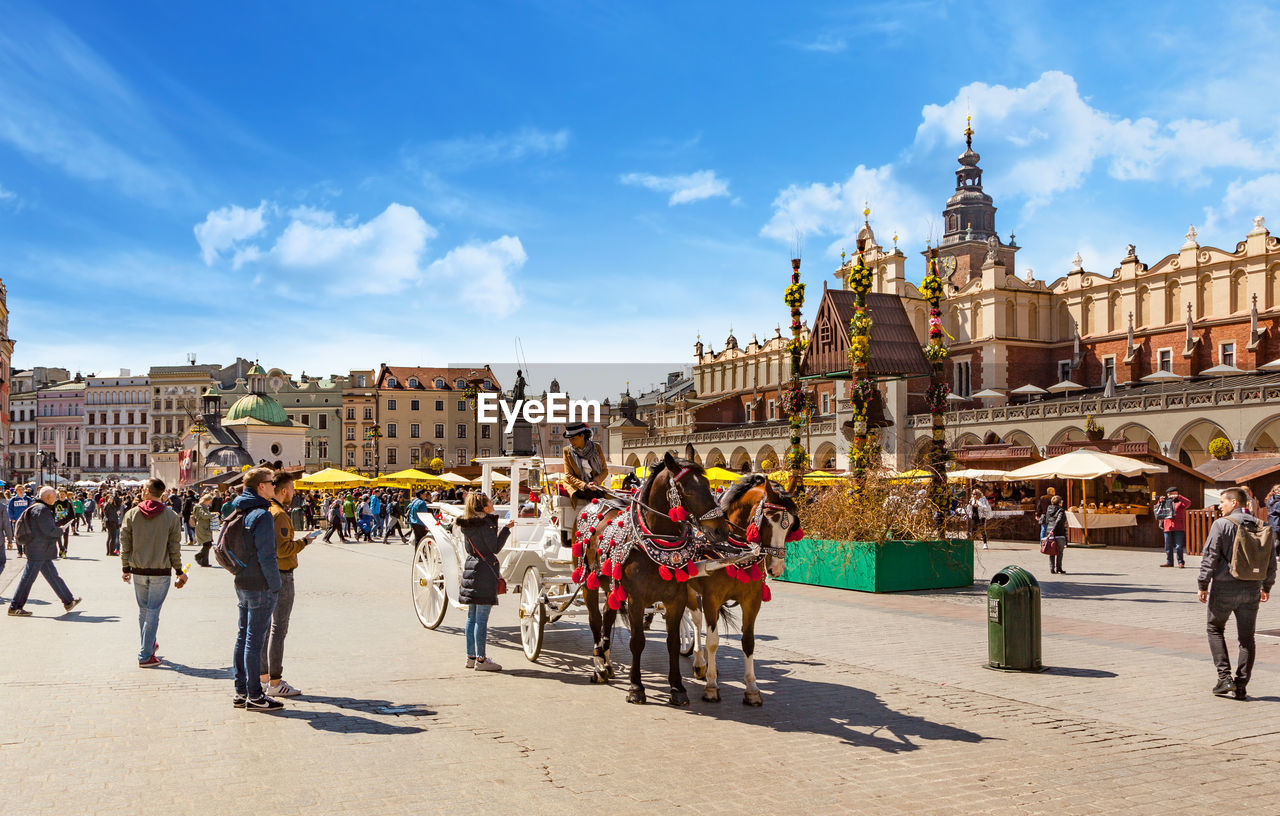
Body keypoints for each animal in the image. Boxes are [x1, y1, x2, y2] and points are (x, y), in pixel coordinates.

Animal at [573, 450, 732, 706]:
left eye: (709, 486)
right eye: (688, 491)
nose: (721, 530)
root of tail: (596, 502)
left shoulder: (676, 599)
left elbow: (672, 642)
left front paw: (677, 688)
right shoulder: (636, 600)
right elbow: (637, 641)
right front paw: (636, 687)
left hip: (612, 586)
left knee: (607, 615)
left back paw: (607, 662)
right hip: (588, 581)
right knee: (595, 620)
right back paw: (599, 666)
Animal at [691, 475, 798, 706]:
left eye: (792, 524)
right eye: (769, 518)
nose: (777, 567)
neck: (733, 553)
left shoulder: (752, 600)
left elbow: (748, 642)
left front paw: (752, 689)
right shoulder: (711, 598)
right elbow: (713, 641)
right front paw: (711, 687)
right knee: (694, 622)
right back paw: (700, 662)